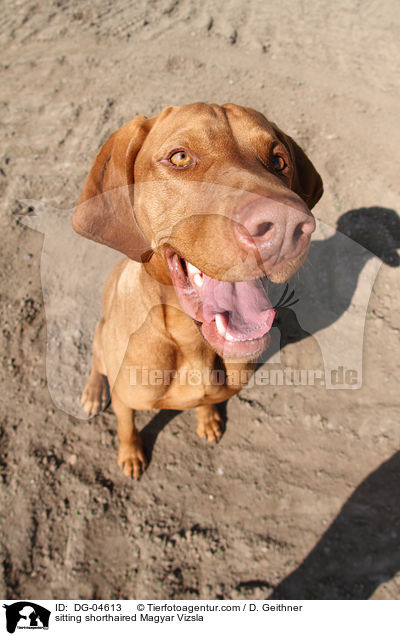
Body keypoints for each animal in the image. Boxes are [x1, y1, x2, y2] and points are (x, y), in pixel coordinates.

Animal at [72, 103, 322, 476]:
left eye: (279, 161)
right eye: (180, 157)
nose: (287, 224)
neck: (190, 342)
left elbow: (205, 403)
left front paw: (207, 419)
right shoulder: (126, 401)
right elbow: (127, 427)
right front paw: (131, 454)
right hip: (102, 336)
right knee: (96, 359)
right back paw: (91, 392)